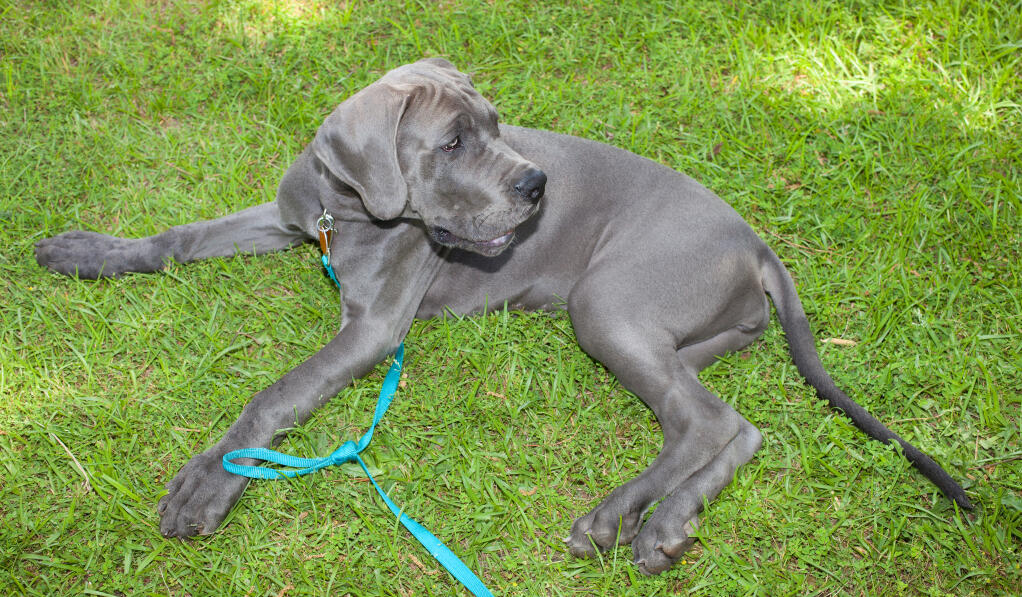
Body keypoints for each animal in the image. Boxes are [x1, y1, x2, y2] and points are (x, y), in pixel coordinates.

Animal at [33, 58, 972, 576]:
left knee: (712, 423)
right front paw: (89, 252)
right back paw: (654, 522)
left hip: (608, 304)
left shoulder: (371, 330)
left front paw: (210, 479)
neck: (350, 211)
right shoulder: (288, 215)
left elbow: (277, 391)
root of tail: (756, 243)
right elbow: (181, 236)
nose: (535, 185)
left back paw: (633, 519)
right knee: (722, 426)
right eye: (452, 142)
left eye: (495, 124)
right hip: (678, 340)